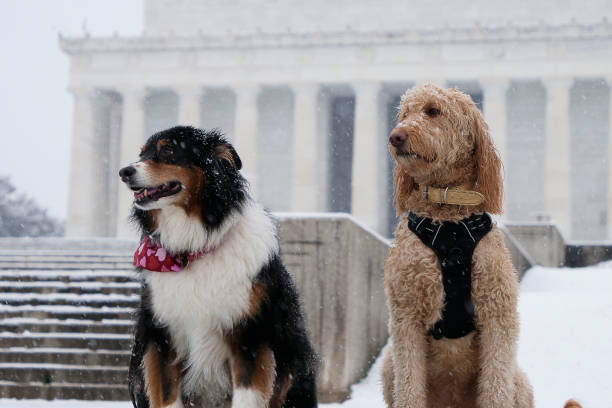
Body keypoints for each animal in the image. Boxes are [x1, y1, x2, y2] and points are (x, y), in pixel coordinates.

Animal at [120, 126, 320, 408]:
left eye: (168, 150)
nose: (124, 172)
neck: (194, 248)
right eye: (142, 154)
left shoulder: (250, 336)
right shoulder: (161, 338)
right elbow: (167, 397)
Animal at [382, 83, 580, 408]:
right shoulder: (406, 316)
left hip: (519, 380)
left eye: (433, 110)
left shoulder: (497, 314)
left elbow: (495, 387)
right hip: (388, 366)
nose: (395, 136)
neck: (447, 216)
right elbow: (409, 387)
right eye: (404, 114)